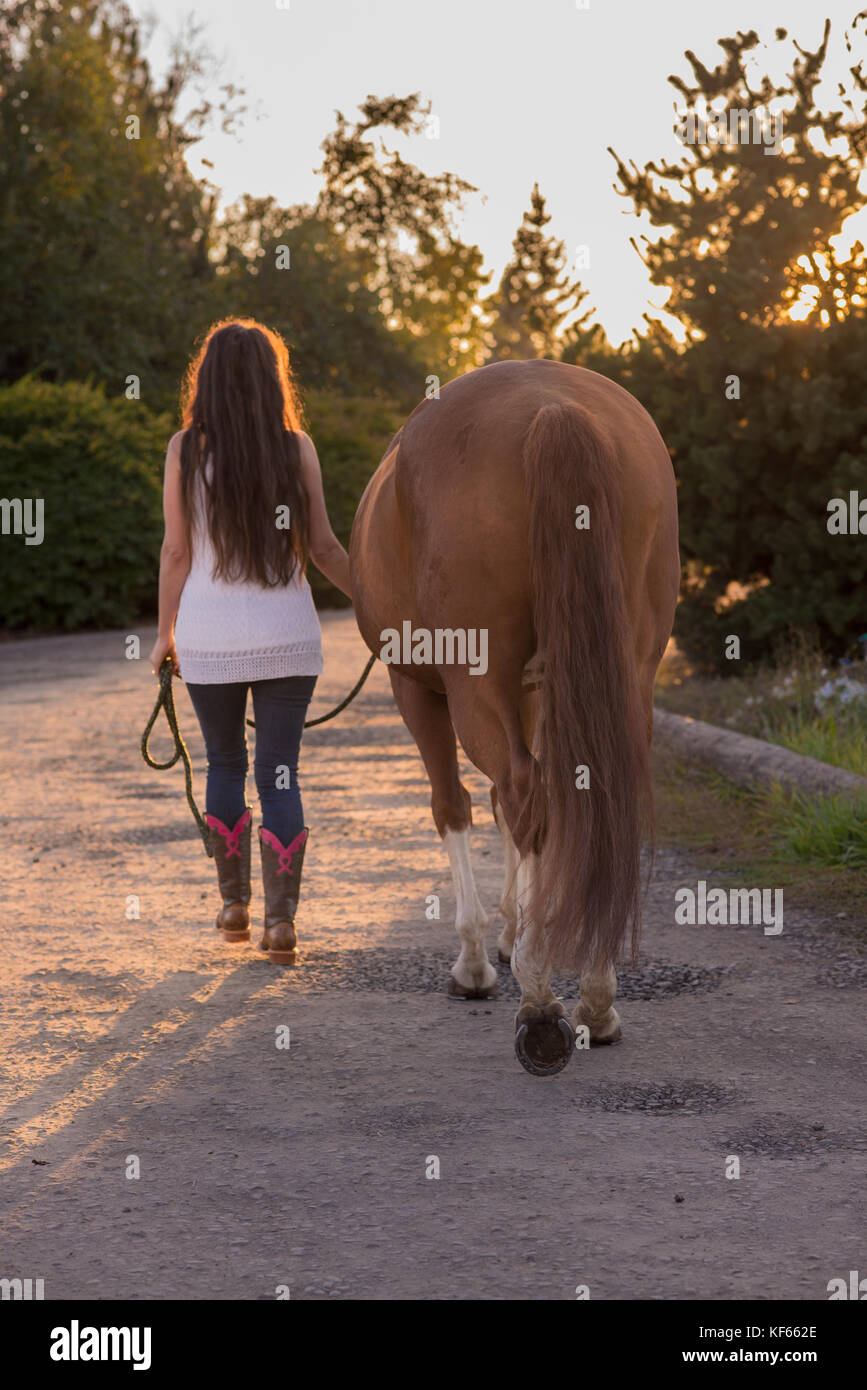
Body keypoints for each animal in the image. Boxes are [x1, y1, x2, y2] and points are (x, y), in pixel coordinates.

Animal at [348, 358, 680, 1073]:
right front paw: (511, 927)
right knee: (591, 797)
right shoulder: (533, 695)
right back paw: (595, 999)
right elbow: (508, 811)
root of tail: (552, 408)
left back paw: (539, 998)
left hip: (473, 681)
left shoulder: (416, 688)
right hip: (629, 673)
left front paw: (477, 957)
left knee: (527, 792)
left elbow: (456, 806)